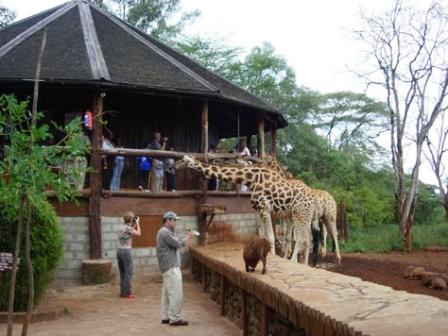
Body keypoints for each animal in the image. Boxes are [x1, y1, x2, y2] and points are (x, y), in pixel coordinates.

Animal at [177, 154, 316, 262]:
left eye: (184, 159)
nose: (175, 166)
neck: (252, 179)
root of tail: (312, 197)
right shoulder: (260, 210)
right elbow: (264, 236)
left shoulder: (264, 208)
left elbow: (271, 237)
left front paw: (273, 256)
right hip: (300, 216)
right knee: (305, 239)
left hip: (299, 215)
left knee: (302, 239)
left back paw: (293, 262)